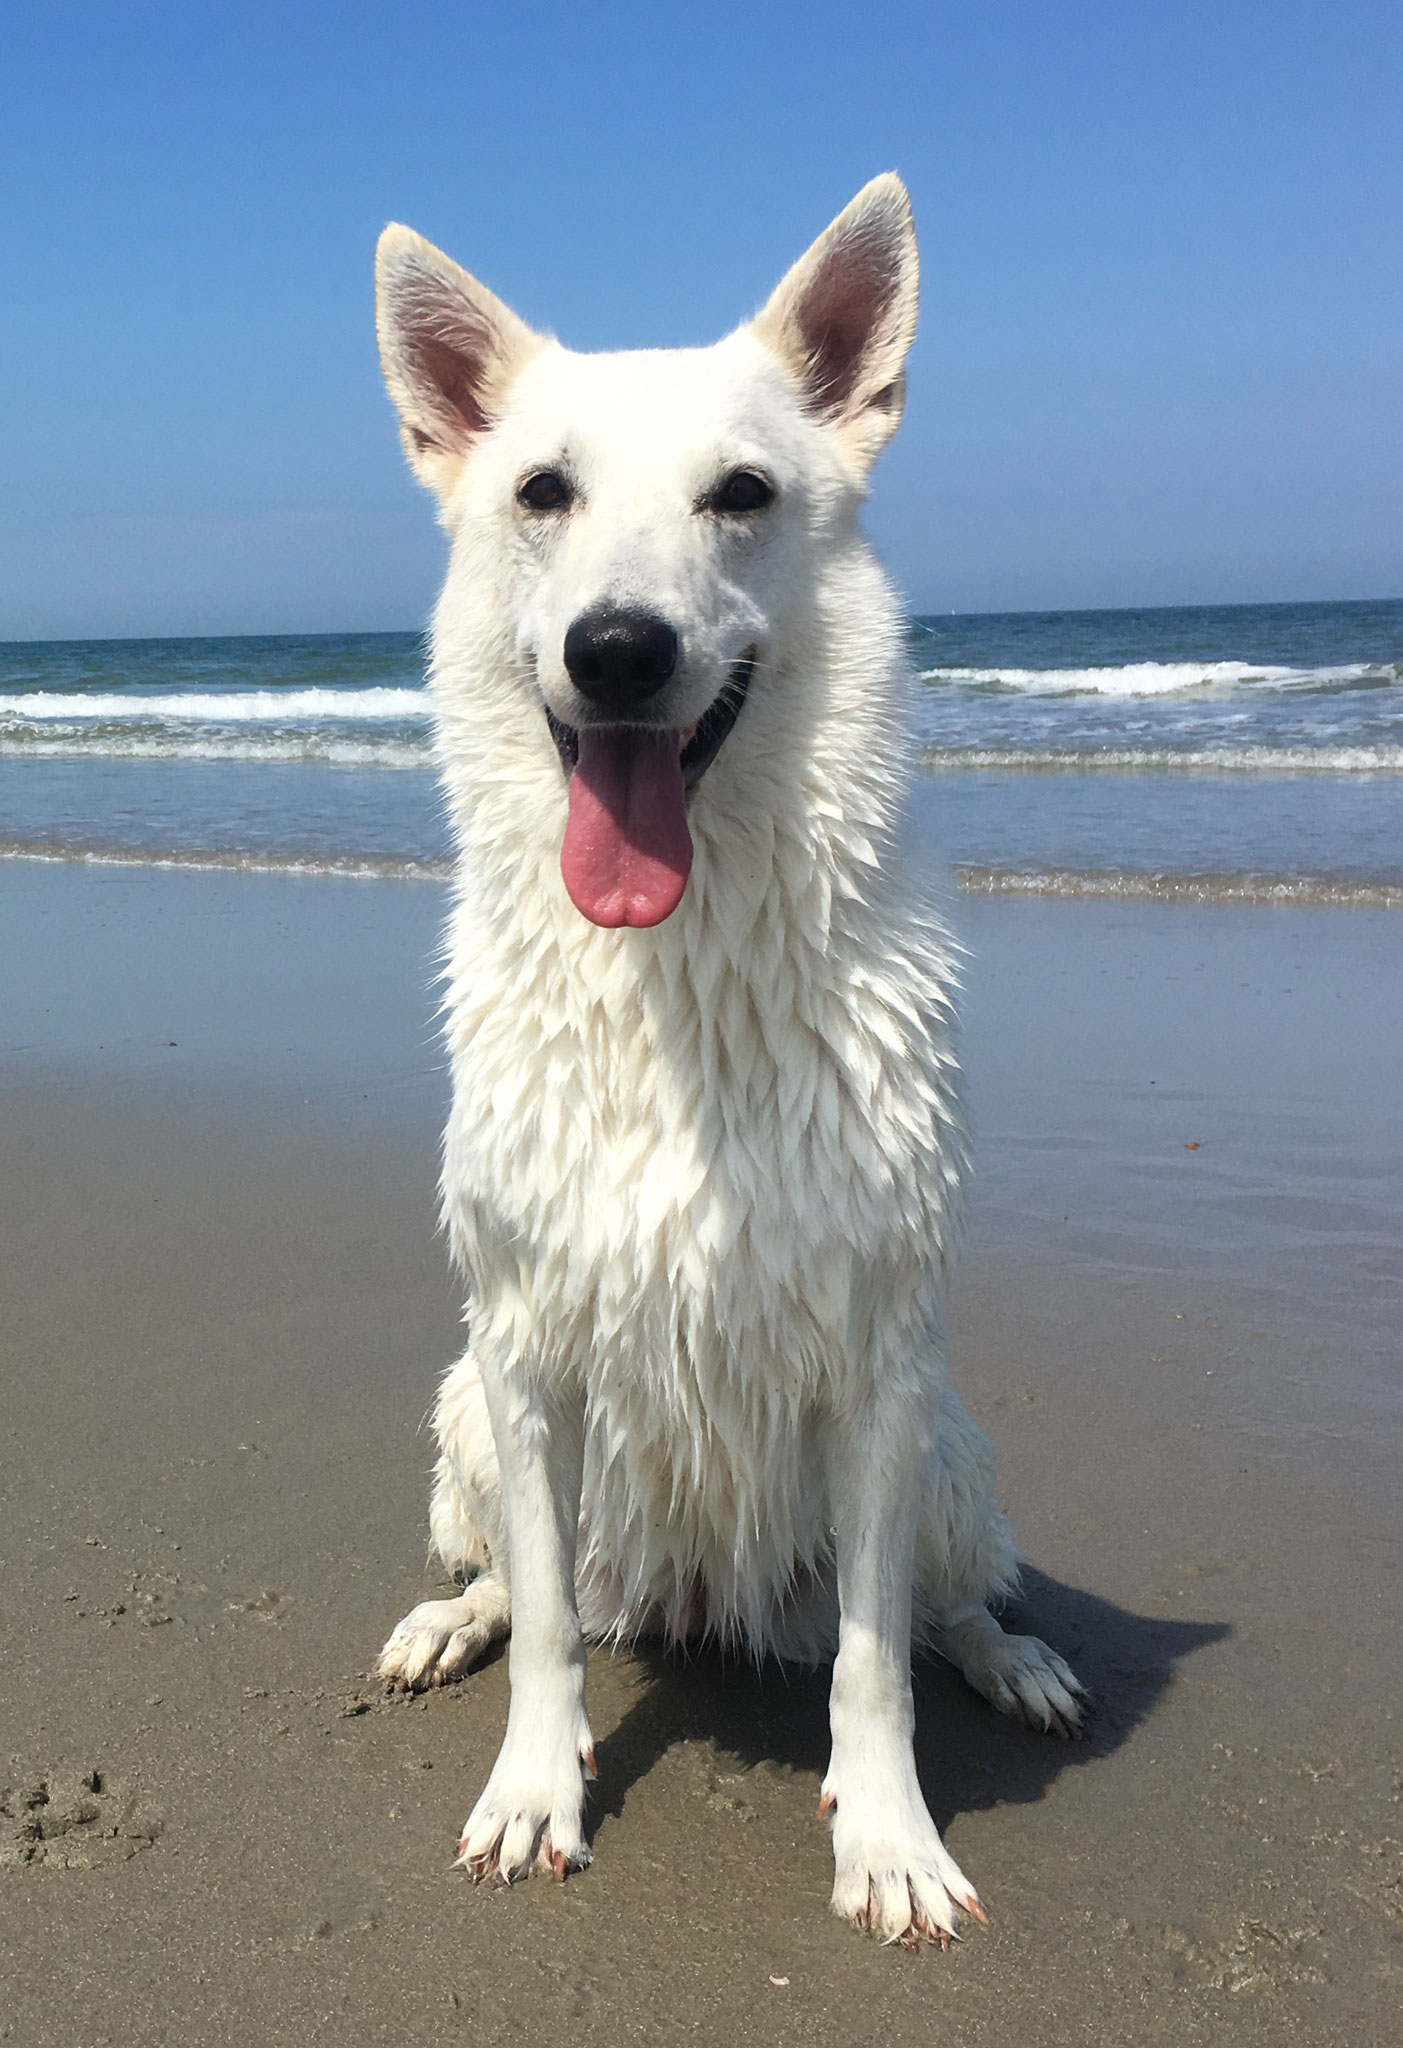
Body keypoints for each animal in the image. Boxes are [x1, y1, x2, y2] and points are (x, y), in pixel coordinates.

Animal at [372, 180, 1081, 1949]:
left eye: (741, 495)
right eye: (541, 492)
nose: (616, 650)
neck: (678, 969)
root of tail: (691, 1601)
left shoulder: (878, 1373)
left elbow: (874, 1662)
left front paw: (886, 1838)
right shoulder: (524, 1349)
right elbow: (552, 1633)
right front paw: (533, 1790)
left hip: (950, 1442)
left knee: (942, 1605)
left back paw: (1015, 1657)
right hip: (465, 1413)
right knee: (527, 1583)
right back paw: (451, 1619)